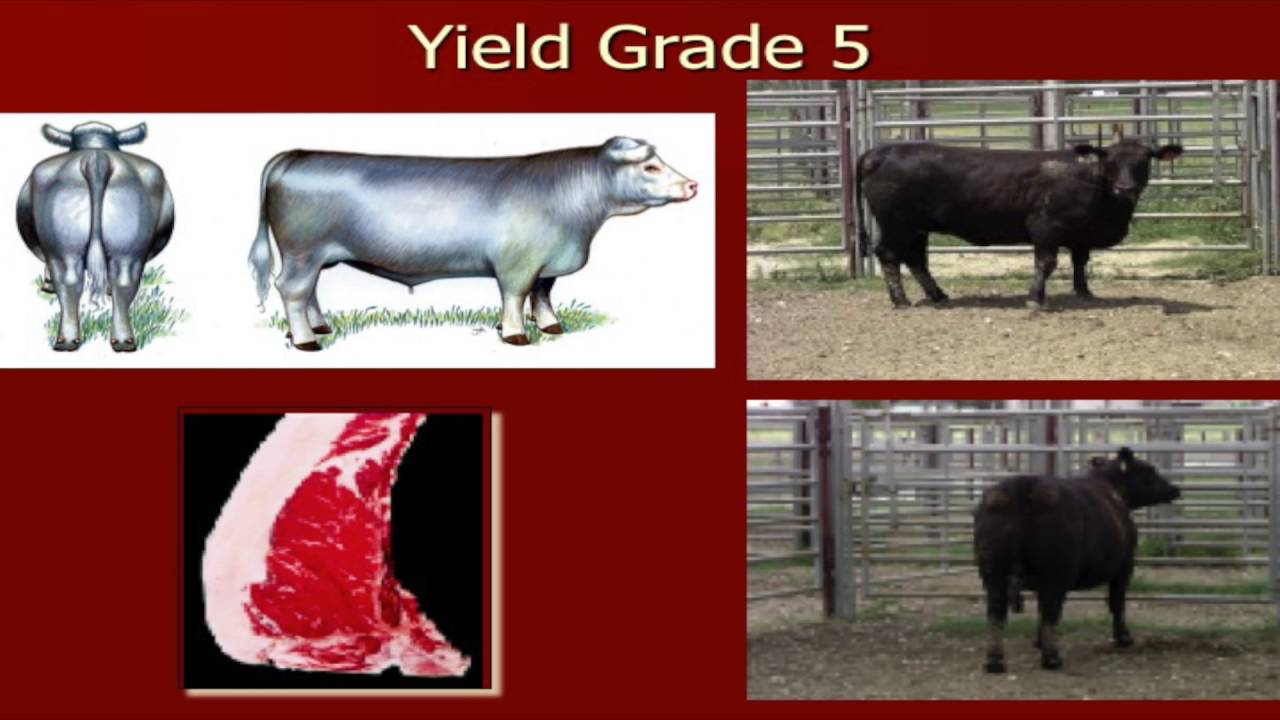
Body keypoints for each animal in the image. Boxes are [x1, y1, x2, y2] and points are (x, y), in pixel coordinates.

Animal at [17, 121, 174, 352]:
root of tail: (96, 157)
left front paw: (47, 284)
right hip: (127, 247)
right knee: (121, 282)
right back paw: (122, 341)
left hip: (62, 248)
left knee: (69, 282)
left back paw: (67, 339)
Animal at [248, 136, 698, 350]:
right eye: (651, 166)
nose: (693, 184)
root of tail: (296, 154)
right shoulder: (518, 263)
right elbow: (516, 296)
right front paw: (515, 334)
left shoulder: (547, 263)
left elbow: (542, 295)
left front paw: (551, 326)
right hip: (303, 251)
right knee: (292, 290)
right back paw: (306, 341)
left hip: (315, 256)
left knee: (308, 292)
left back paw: (320, 326)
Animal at [855, 128, 1182, 308]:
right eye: (1110, 159)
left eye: (1144, 160)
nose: (1125, 188)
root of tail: (880, 152)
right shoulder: (1045, 227)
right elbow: (1046, 263)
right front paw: (1036, 299)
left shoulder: (1080, 234)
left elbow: (1080, 261)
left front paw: (1084, 292)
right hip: (896, 223)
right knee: (889, 255)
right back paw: (901, 300)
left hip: (916, 227)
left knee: (916, 259)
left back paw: (938, 295)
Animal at [973, 447, 1181, 672]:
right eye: (1149, 470)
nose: (1175, 489)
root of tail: (1025, 485)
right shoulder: (1124, 566)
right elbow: (1117, 601)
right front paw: (1123, 638)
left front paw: (1038, 641)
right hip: (1055, 571)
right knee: (1051, 609)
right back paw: (1052, 659)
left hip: (993, 571)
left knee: (997, 611)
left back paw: (995, 661)